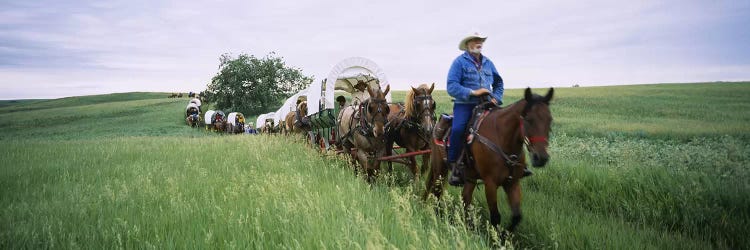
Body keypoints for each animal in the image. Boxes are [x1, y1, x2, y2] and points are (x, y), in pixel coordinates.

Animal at [426, 87, 556, 232]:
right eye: (528, 119)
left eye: (549, 120)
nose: (541, 158)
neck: (502, 139)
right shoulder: (490, 184)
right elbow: (495, 218)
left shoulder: (512, 183)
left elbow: (517, 217)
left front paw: (505, 234)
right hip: (440, 170)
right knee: (436, 193)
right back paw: (438, 216)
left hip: (470, 177)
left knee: (465, 200)